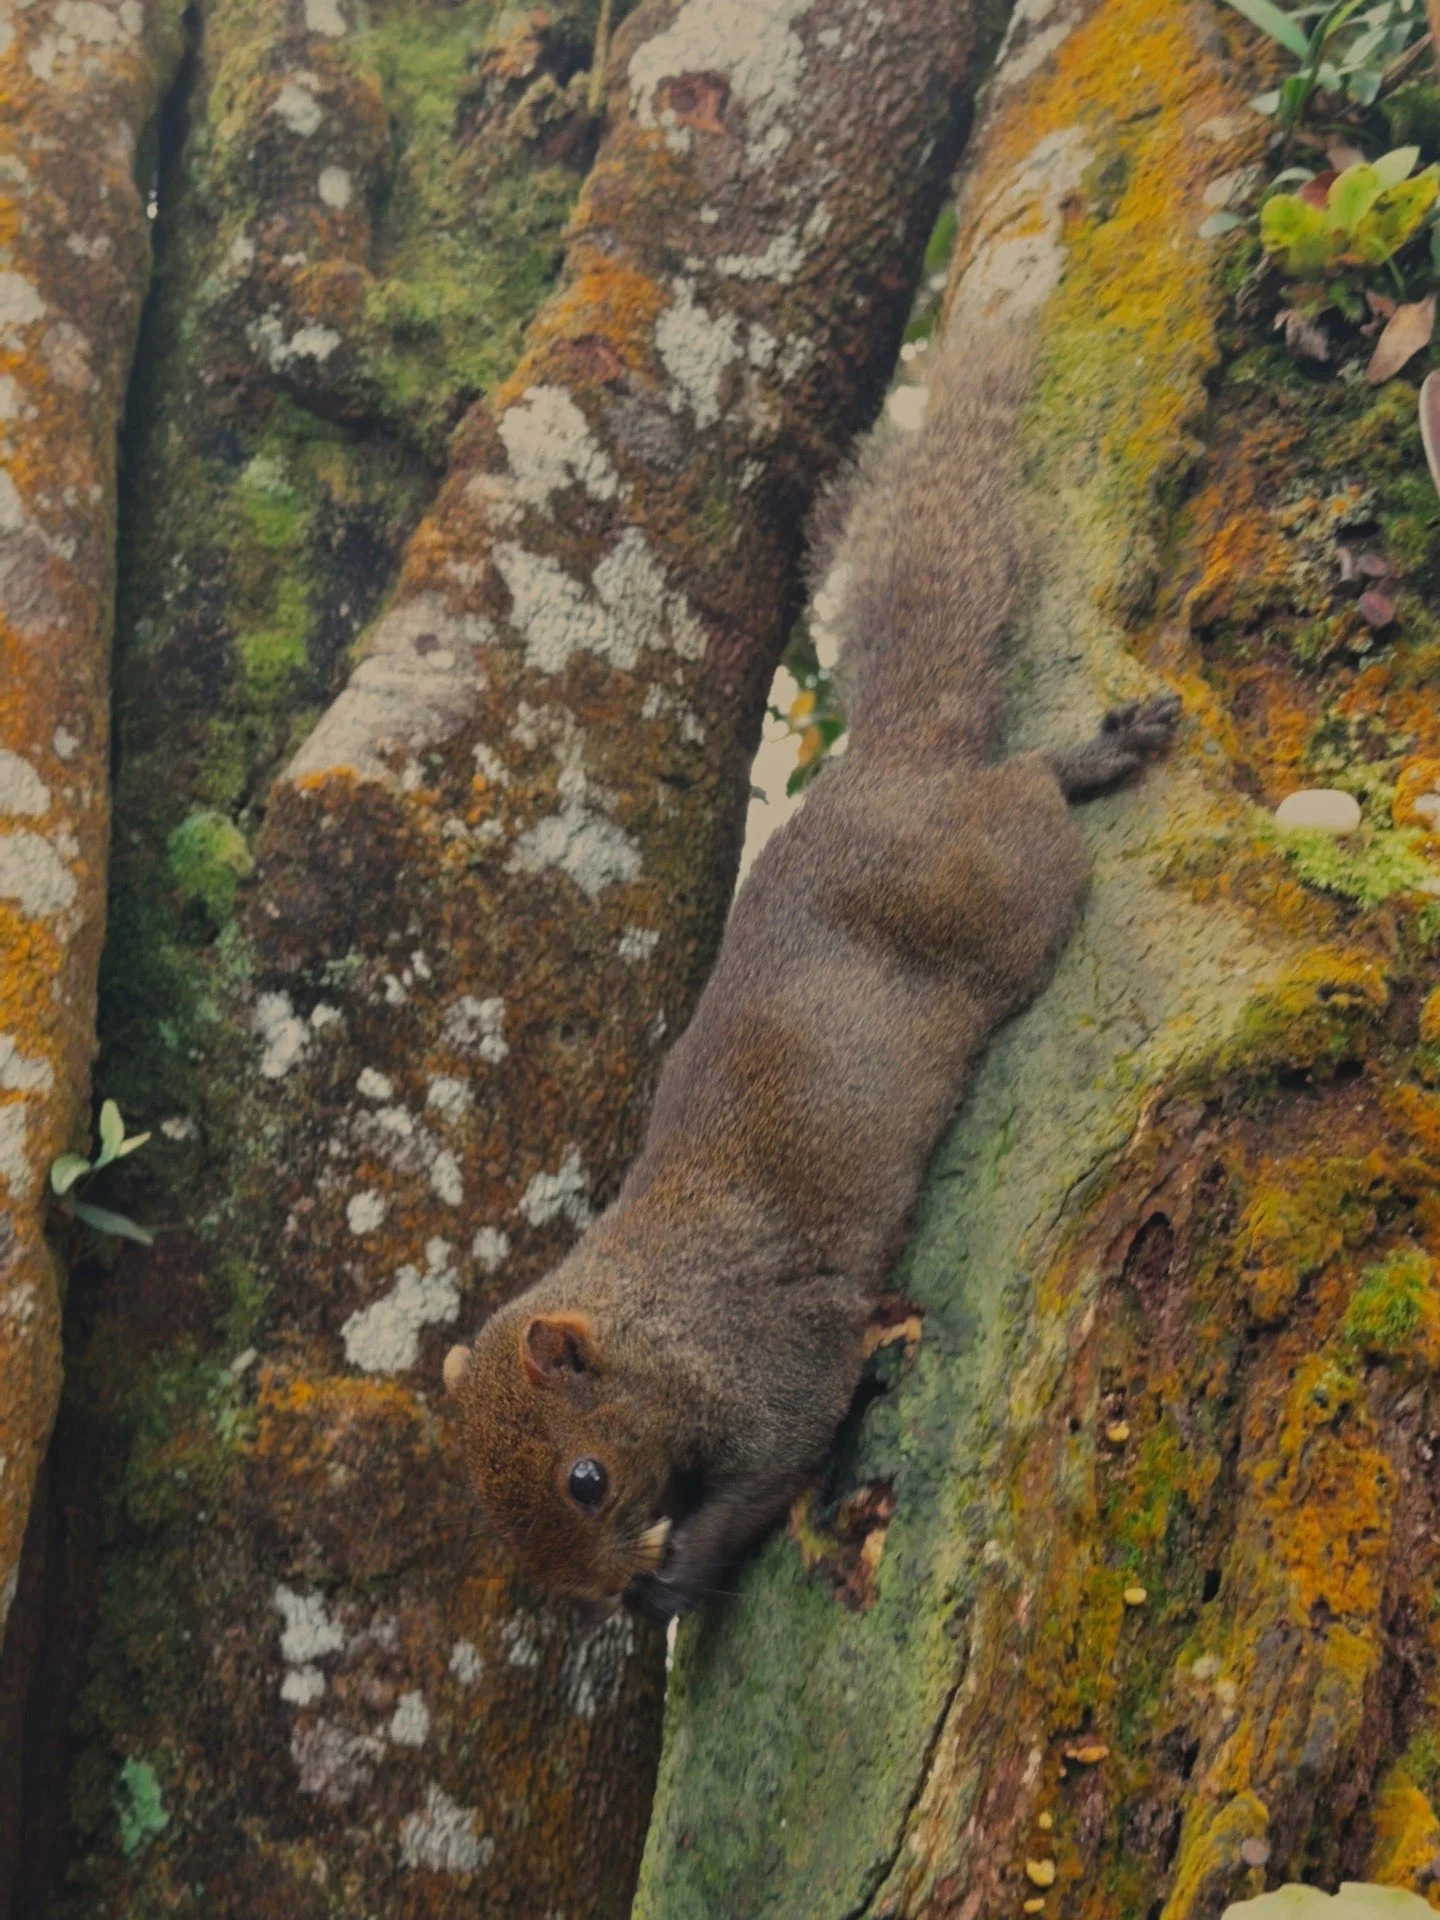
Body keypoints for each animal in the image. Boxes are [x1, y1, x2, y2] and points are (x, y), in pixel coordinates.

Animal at [444, 314, 1180, 1621]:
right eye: (498, 1519)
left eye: (585, 1479)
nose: (597, 1598)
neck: (650, 1322)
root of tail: (889, 762)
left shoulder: (775, 1353)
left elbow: (781, 1451)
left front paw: (678, 1575)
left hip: (999, 884)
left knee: (1026, 794)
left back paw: (1091, 758)